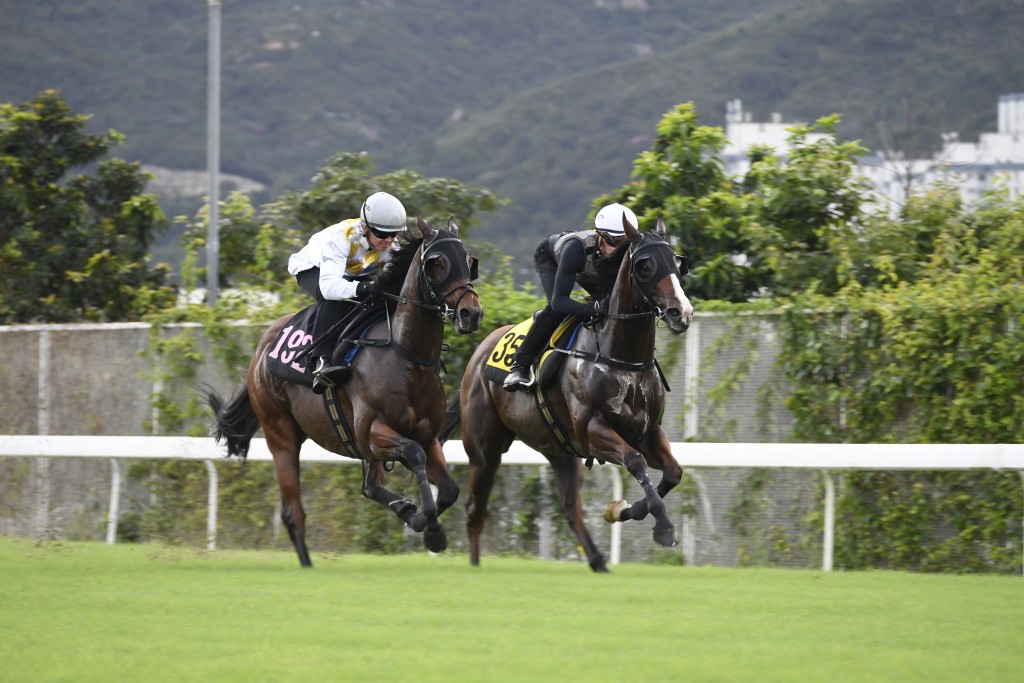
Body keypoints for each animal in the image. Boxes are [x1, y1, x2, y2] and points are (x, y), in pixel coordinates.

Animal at [205, 215, 485, 565]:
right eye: (437, 263)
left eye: (469, 261)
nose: (471, 313)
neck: (406, 356)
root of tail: (261, 350)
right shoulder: (372, 431)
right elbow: (413, 454)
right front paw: (430, 527)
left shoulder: (427, 434)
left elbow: (447, 489)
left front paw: (420, 519)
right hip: (280, 432)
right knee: (293, 512)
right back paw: (307, 564)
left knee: (370, 486)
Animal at [444, 215, 692, 573]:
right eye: (645, 265)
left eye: (676, 261)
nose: (680, 312)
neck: (621, 358)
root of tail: (477, 356)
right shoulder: (593, 430)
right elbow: (635, 460)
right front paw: (664, 528)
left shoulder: (647, 431)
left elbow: (672, 473)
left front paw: (621, 510)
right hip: (484, 449)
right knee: (475, 507)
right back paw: (475, 565)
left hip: (560, 450)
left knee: (570, 506)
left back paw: (598, 560)